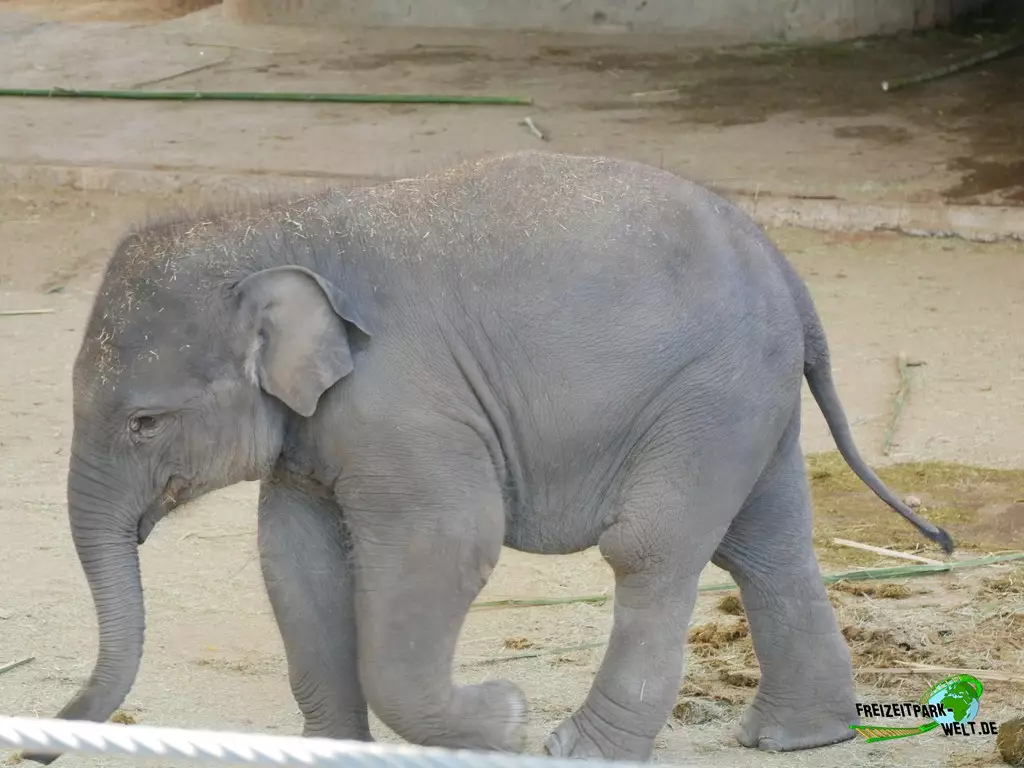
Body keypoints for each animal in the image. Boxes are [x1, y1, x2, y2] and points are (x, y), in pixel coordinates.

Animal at [25, 150, 953, 764]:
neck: (275, 223)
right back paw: (794, 737)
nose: (42, 740)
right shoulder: (317, 429)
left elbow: (447, 543)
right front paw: (340, 751)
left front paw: (501, 721)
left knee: (652, 549)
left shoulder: (407, 406)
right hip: (750, 400)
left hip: (709, 394)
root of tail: (787, 273)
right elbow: (295, 561)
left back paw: (580, 747)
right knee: (767, 545)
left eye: (144, 421)